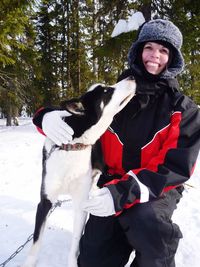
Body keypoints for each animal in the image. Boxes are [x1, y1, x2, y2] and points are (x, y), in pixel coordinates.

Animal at [22, 78, 137, 267]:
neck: (71, 147)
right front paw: (29, 263)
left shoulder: (81, 203)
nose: (132, 77)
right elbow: (36, 241)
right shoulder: (45, 200)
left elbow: (76, 241)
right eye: (106, 91)